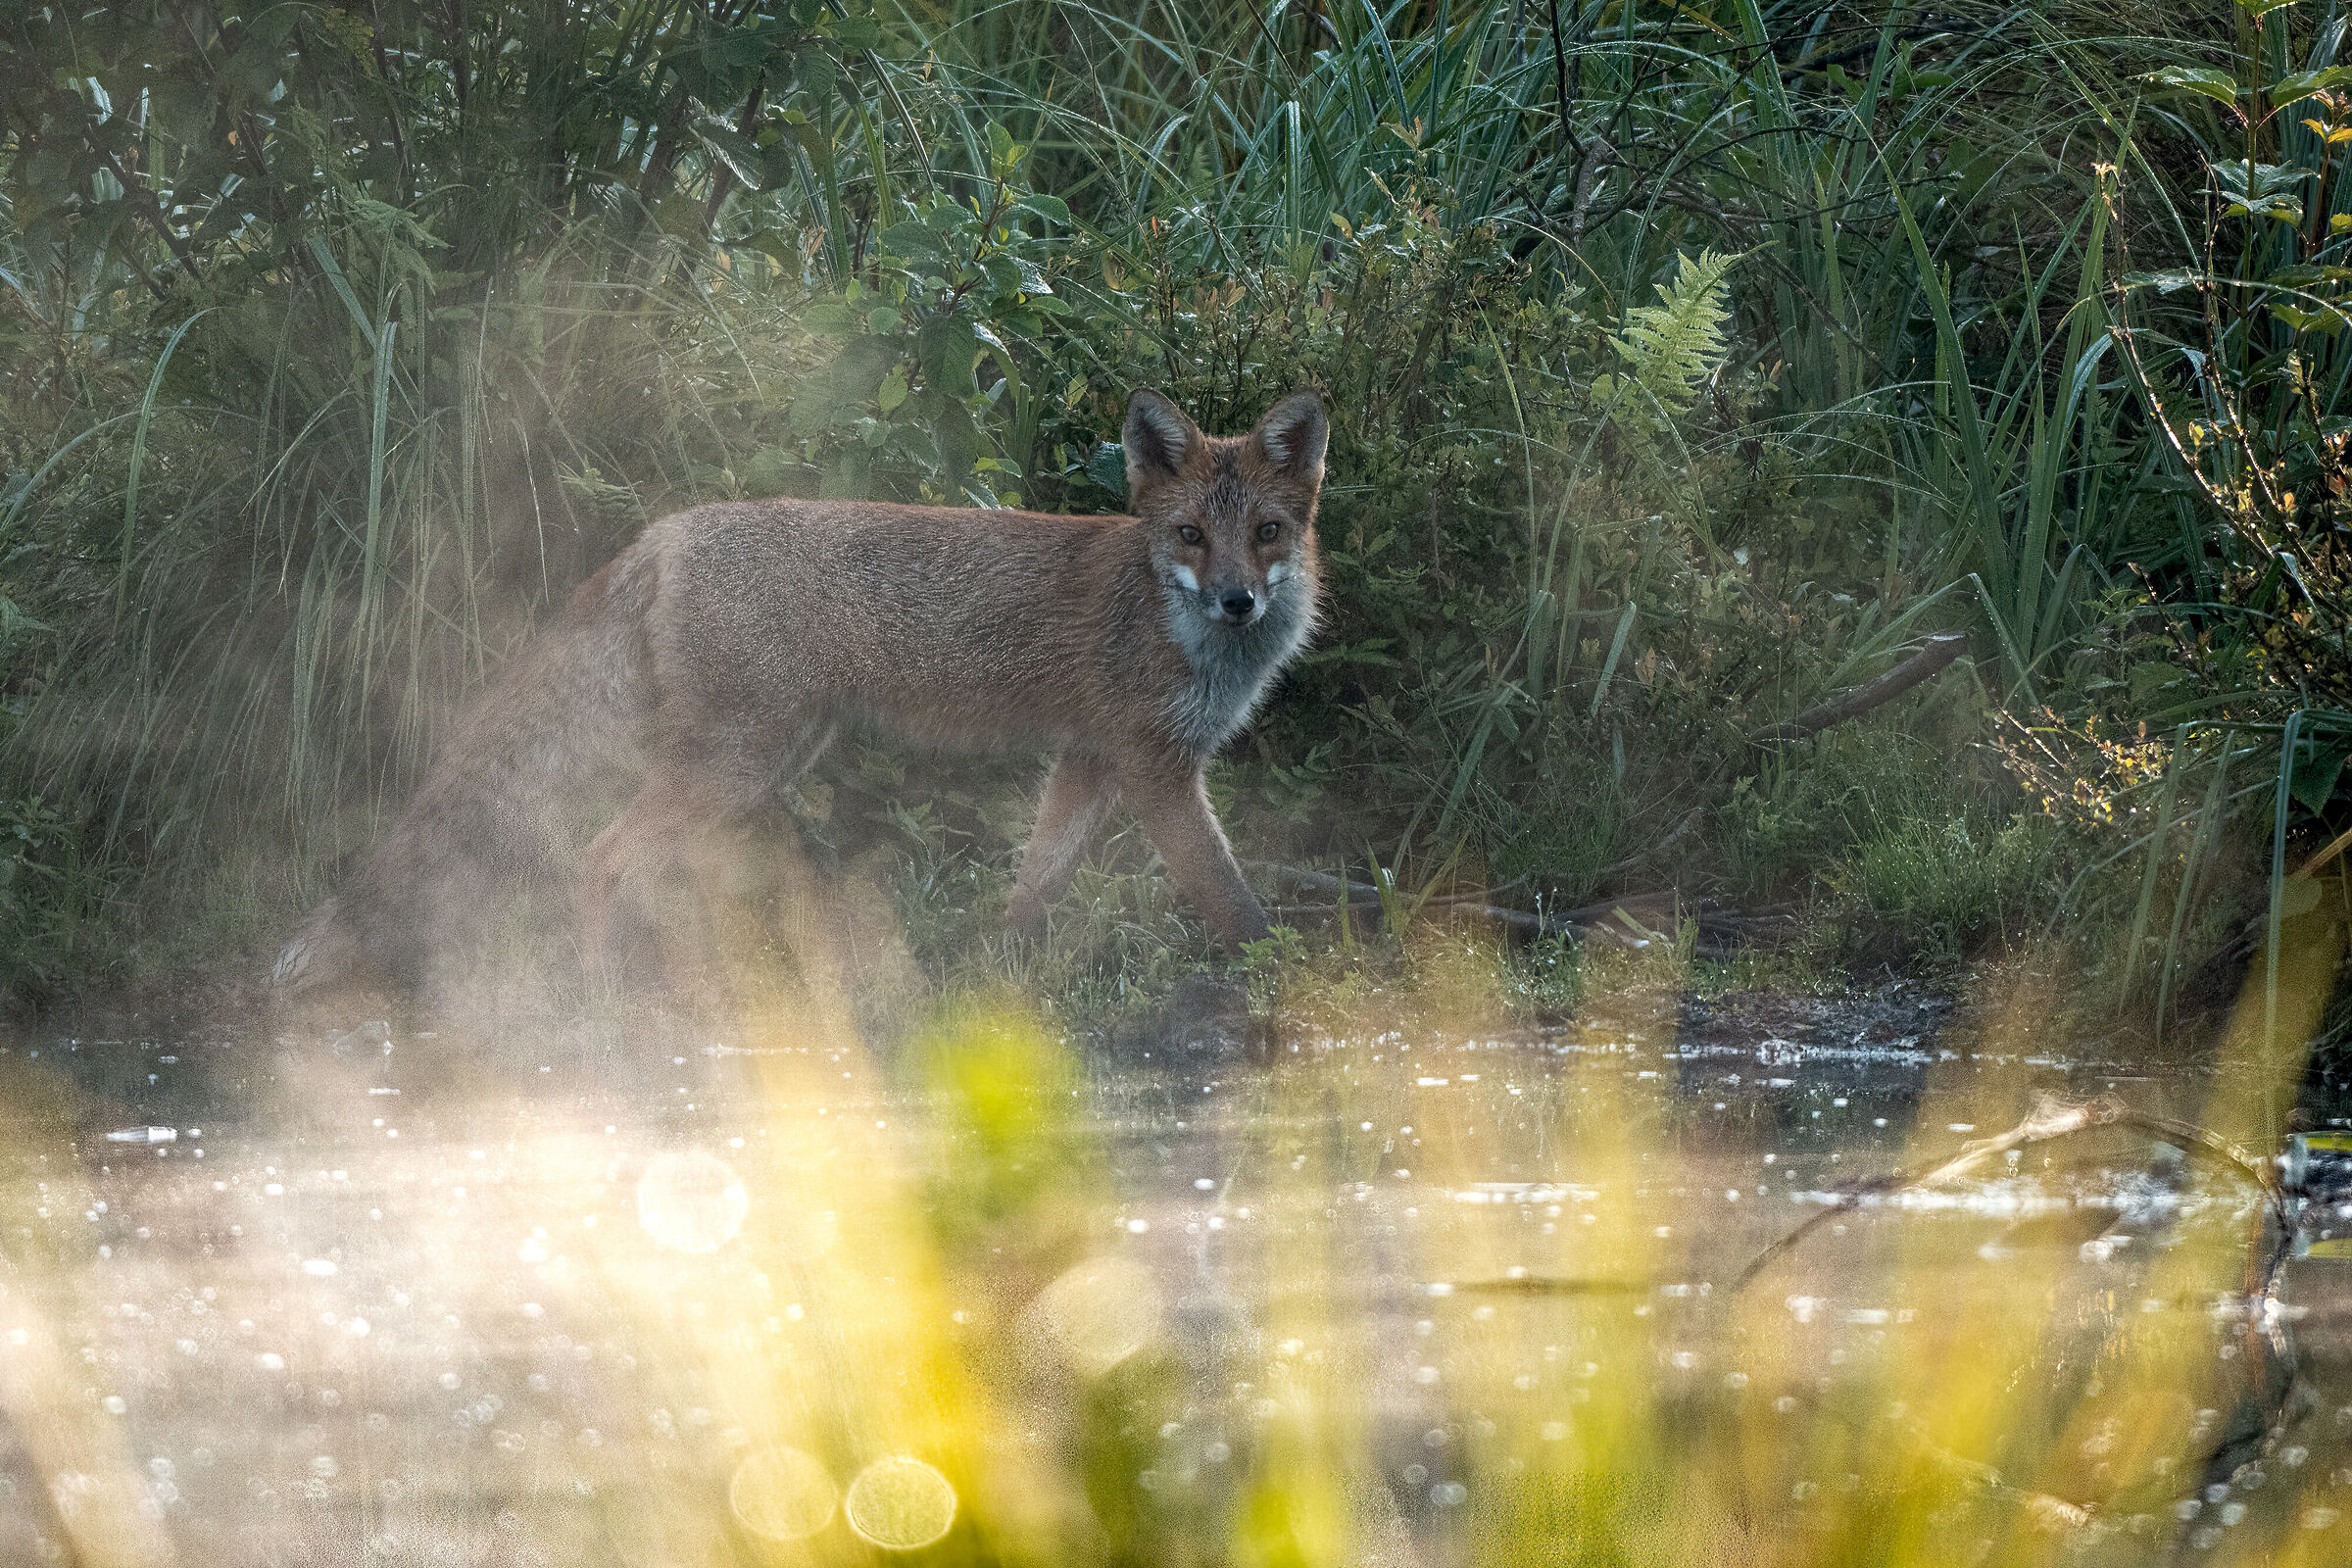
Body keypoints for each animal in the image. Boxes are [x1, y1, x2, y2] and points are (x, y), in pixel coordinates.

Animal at [271, 387, 1329, 997]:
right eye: (1190, 535)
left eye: (1267, 532)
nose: (1237, 600)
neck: (1174, 623)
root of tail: (673, 528)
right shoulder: (1156, 770)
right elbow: (1232, 900)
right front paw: (1291, 983)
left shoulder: (1090, 760)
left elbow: (1037, 880)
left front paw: (1001, 969)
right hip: (739, 764)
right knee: (600, 855)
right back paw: (612, 998)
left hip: (768, 759)